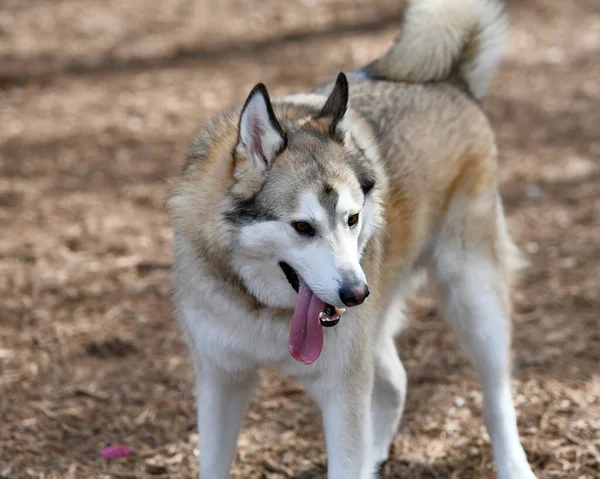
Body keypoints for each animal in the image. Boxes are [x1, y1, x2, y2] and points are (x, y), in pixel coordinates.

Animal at [169, 0, 540, 479]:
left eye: (352, 218)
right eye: (302, 227)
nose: (355, 293)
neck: (264, 311)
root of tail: (450, 81)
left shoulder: (342, 392)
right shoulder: (221, 381)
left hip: (474, 301)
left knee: (496, 395)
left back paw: (513, 464)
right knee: (397, 381)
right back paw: (375, 454)